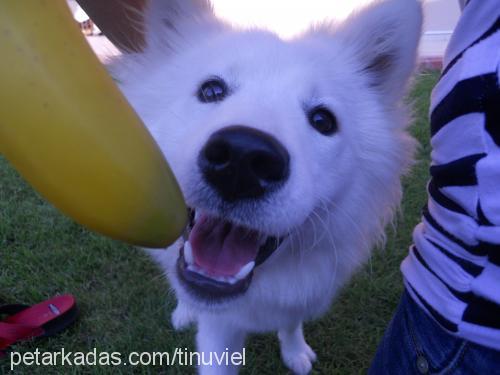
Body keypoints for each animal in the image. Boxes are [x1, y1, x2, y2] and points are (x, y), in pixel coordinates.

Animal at [113, 1, 422, 374]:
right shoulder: (219, 329)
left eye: (323, 120)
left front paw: (295, 353)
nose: (242, 159)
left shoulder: (300, 297)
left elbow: (290, 324)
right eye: (211, 90)